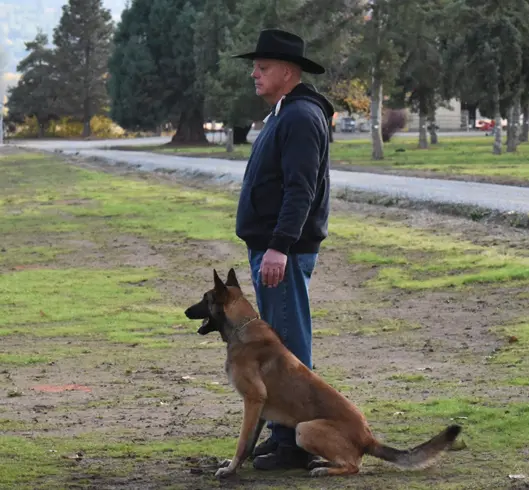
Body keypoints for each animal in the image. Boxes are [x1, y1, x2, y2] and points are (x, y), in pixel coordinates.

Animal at [184, 268, 460, 478]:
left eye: (204, 299)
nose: (185, 311)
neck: (243, 327)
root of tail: (368, 438)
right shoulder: (259, 409)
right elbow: (250, 442)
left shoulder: (252, 401)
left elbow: (242, 442)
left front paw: (230, 470)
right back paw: (320, 463)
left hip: (305, 429)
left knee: (354, 466)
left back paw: (324, 469)